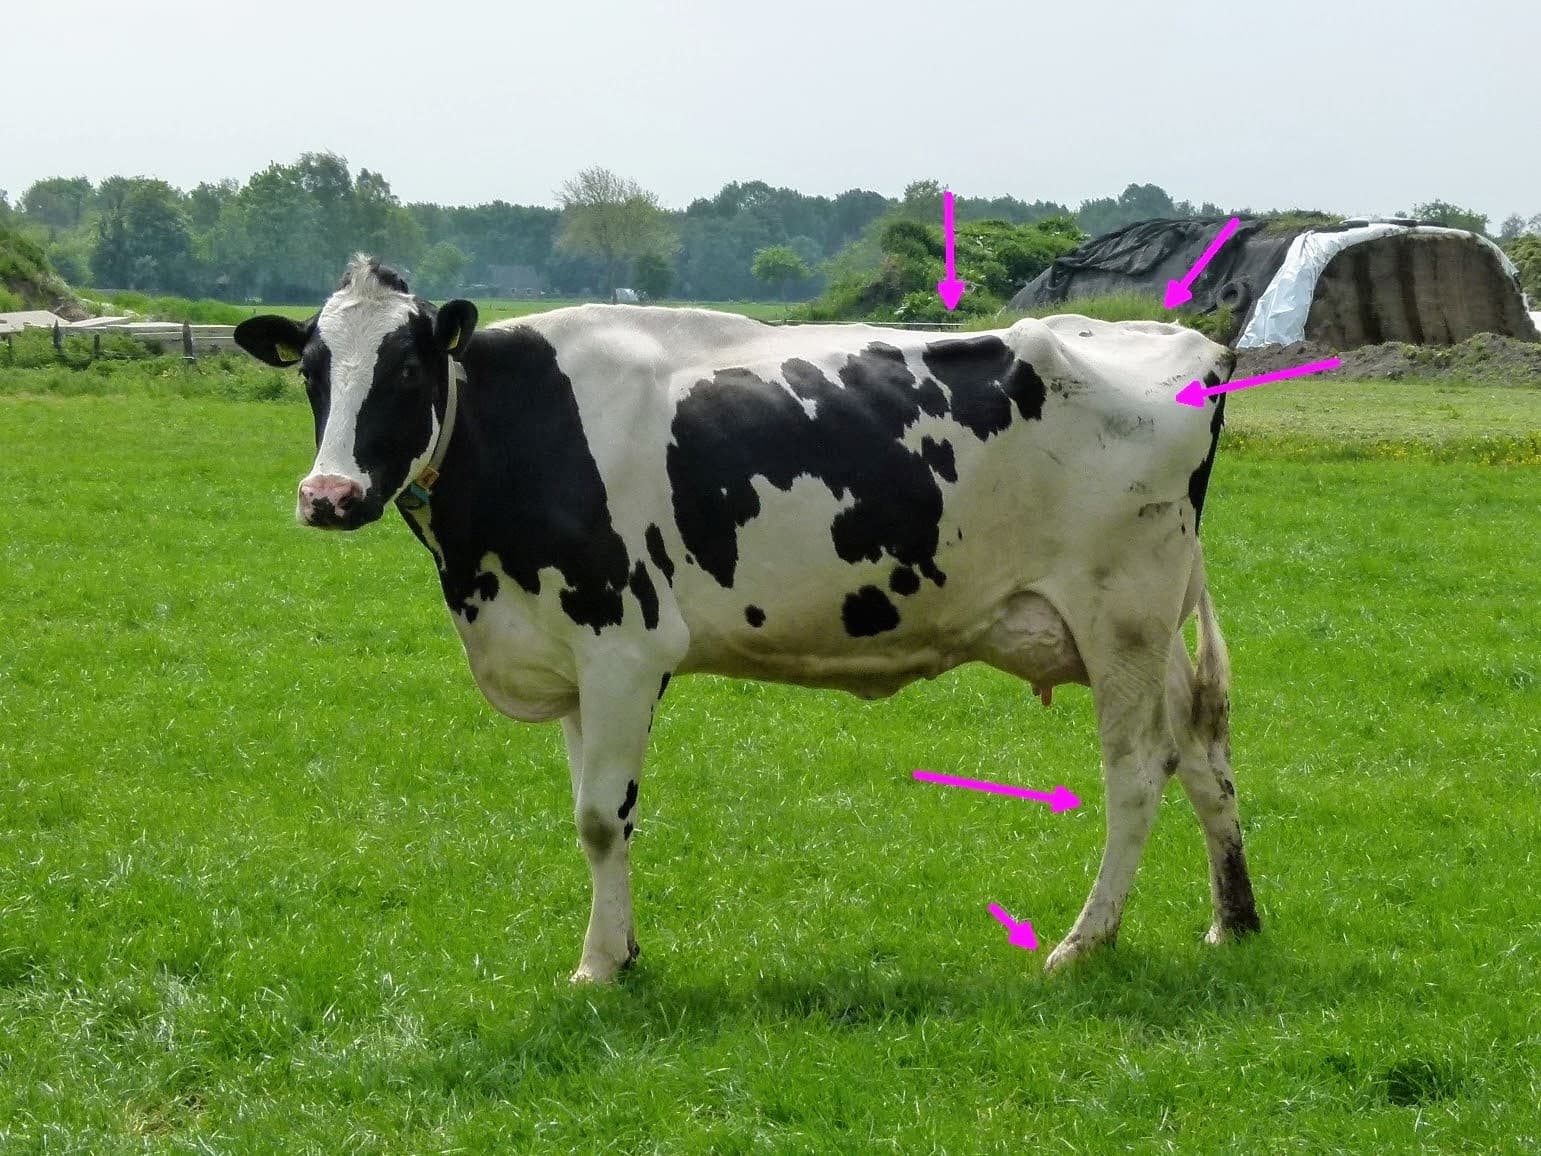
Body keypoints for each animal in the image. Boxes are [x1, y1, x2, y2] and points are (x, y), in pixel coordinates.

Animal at [234, 255, 1260, 983]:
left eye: (409, 367)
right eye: (313, 370)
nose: (328, 496)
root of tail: (1193, 348)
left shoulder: (623, 644)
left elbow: (600, 817)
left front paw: (598, 968)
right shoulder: (565, 653)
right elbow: (591, 815)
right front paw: (621, 950)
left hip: (1119, 615)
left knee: (1136, 771)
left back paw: (1085, 942)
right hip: (1145, 624)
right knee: (1202, 749)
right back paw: (1233, 919)